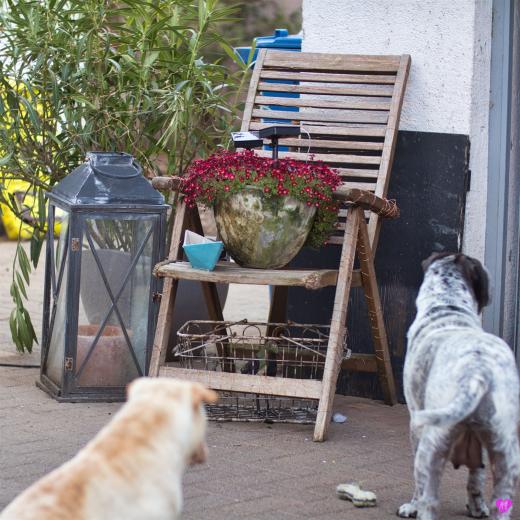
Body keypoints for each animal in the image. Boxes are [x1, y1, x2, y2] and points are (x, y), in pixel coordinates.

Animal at [398, 253, 520, 520]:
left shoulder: (415, 424)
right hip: (506, 458)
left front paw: (410, 506)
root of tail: (477, 371)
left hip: (431, 446)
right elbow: (476, 478)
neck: (448, 306)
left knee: (428, 499)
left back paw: (418, 508)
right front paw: (476, 507)